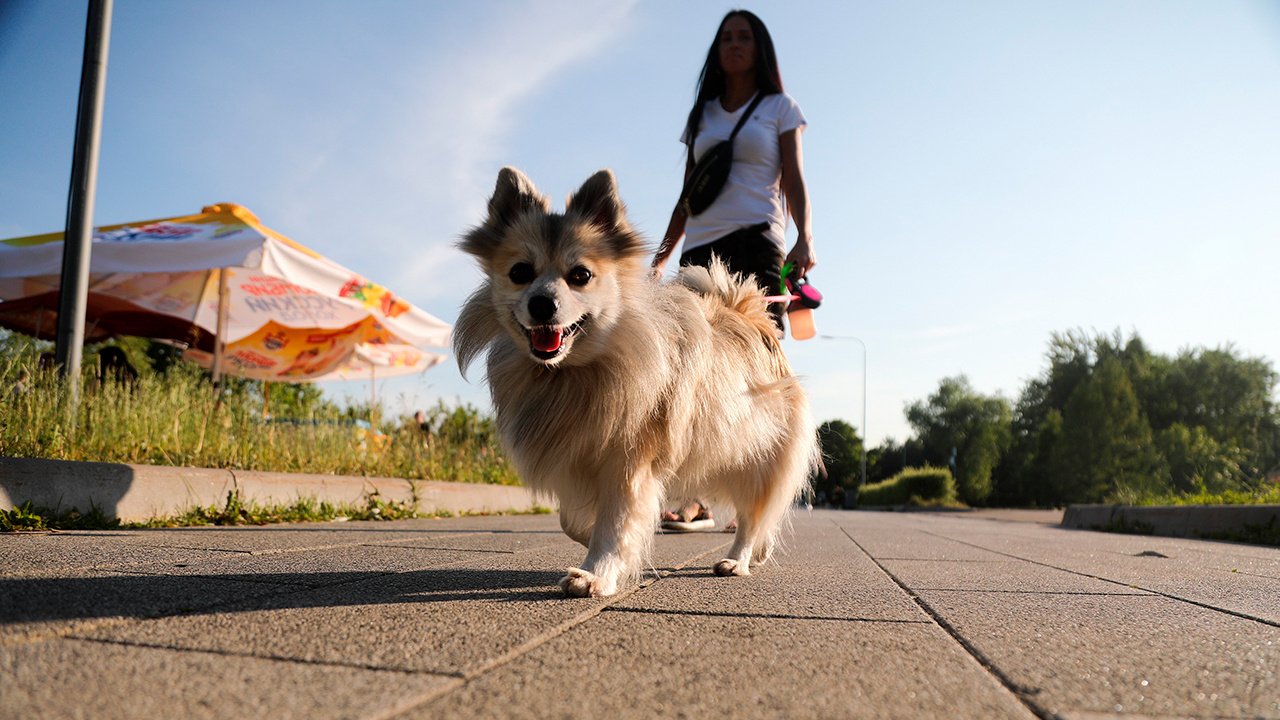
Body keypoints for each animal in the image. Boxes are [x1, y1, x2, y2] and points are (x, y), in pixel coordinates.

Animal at [460, 166, 819, 594]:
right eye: (519, 273)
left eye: (580, 275)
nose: (542, 303)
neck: (574, 373)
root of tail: (751, 318)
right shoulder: (580, 460)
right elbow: (573, 519)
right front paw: (603, 543)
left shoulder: (629, 461)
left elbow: (615, 520)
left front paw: (596, 573)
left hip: (755, 456)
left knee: (752, 516)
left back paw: (738, 559)